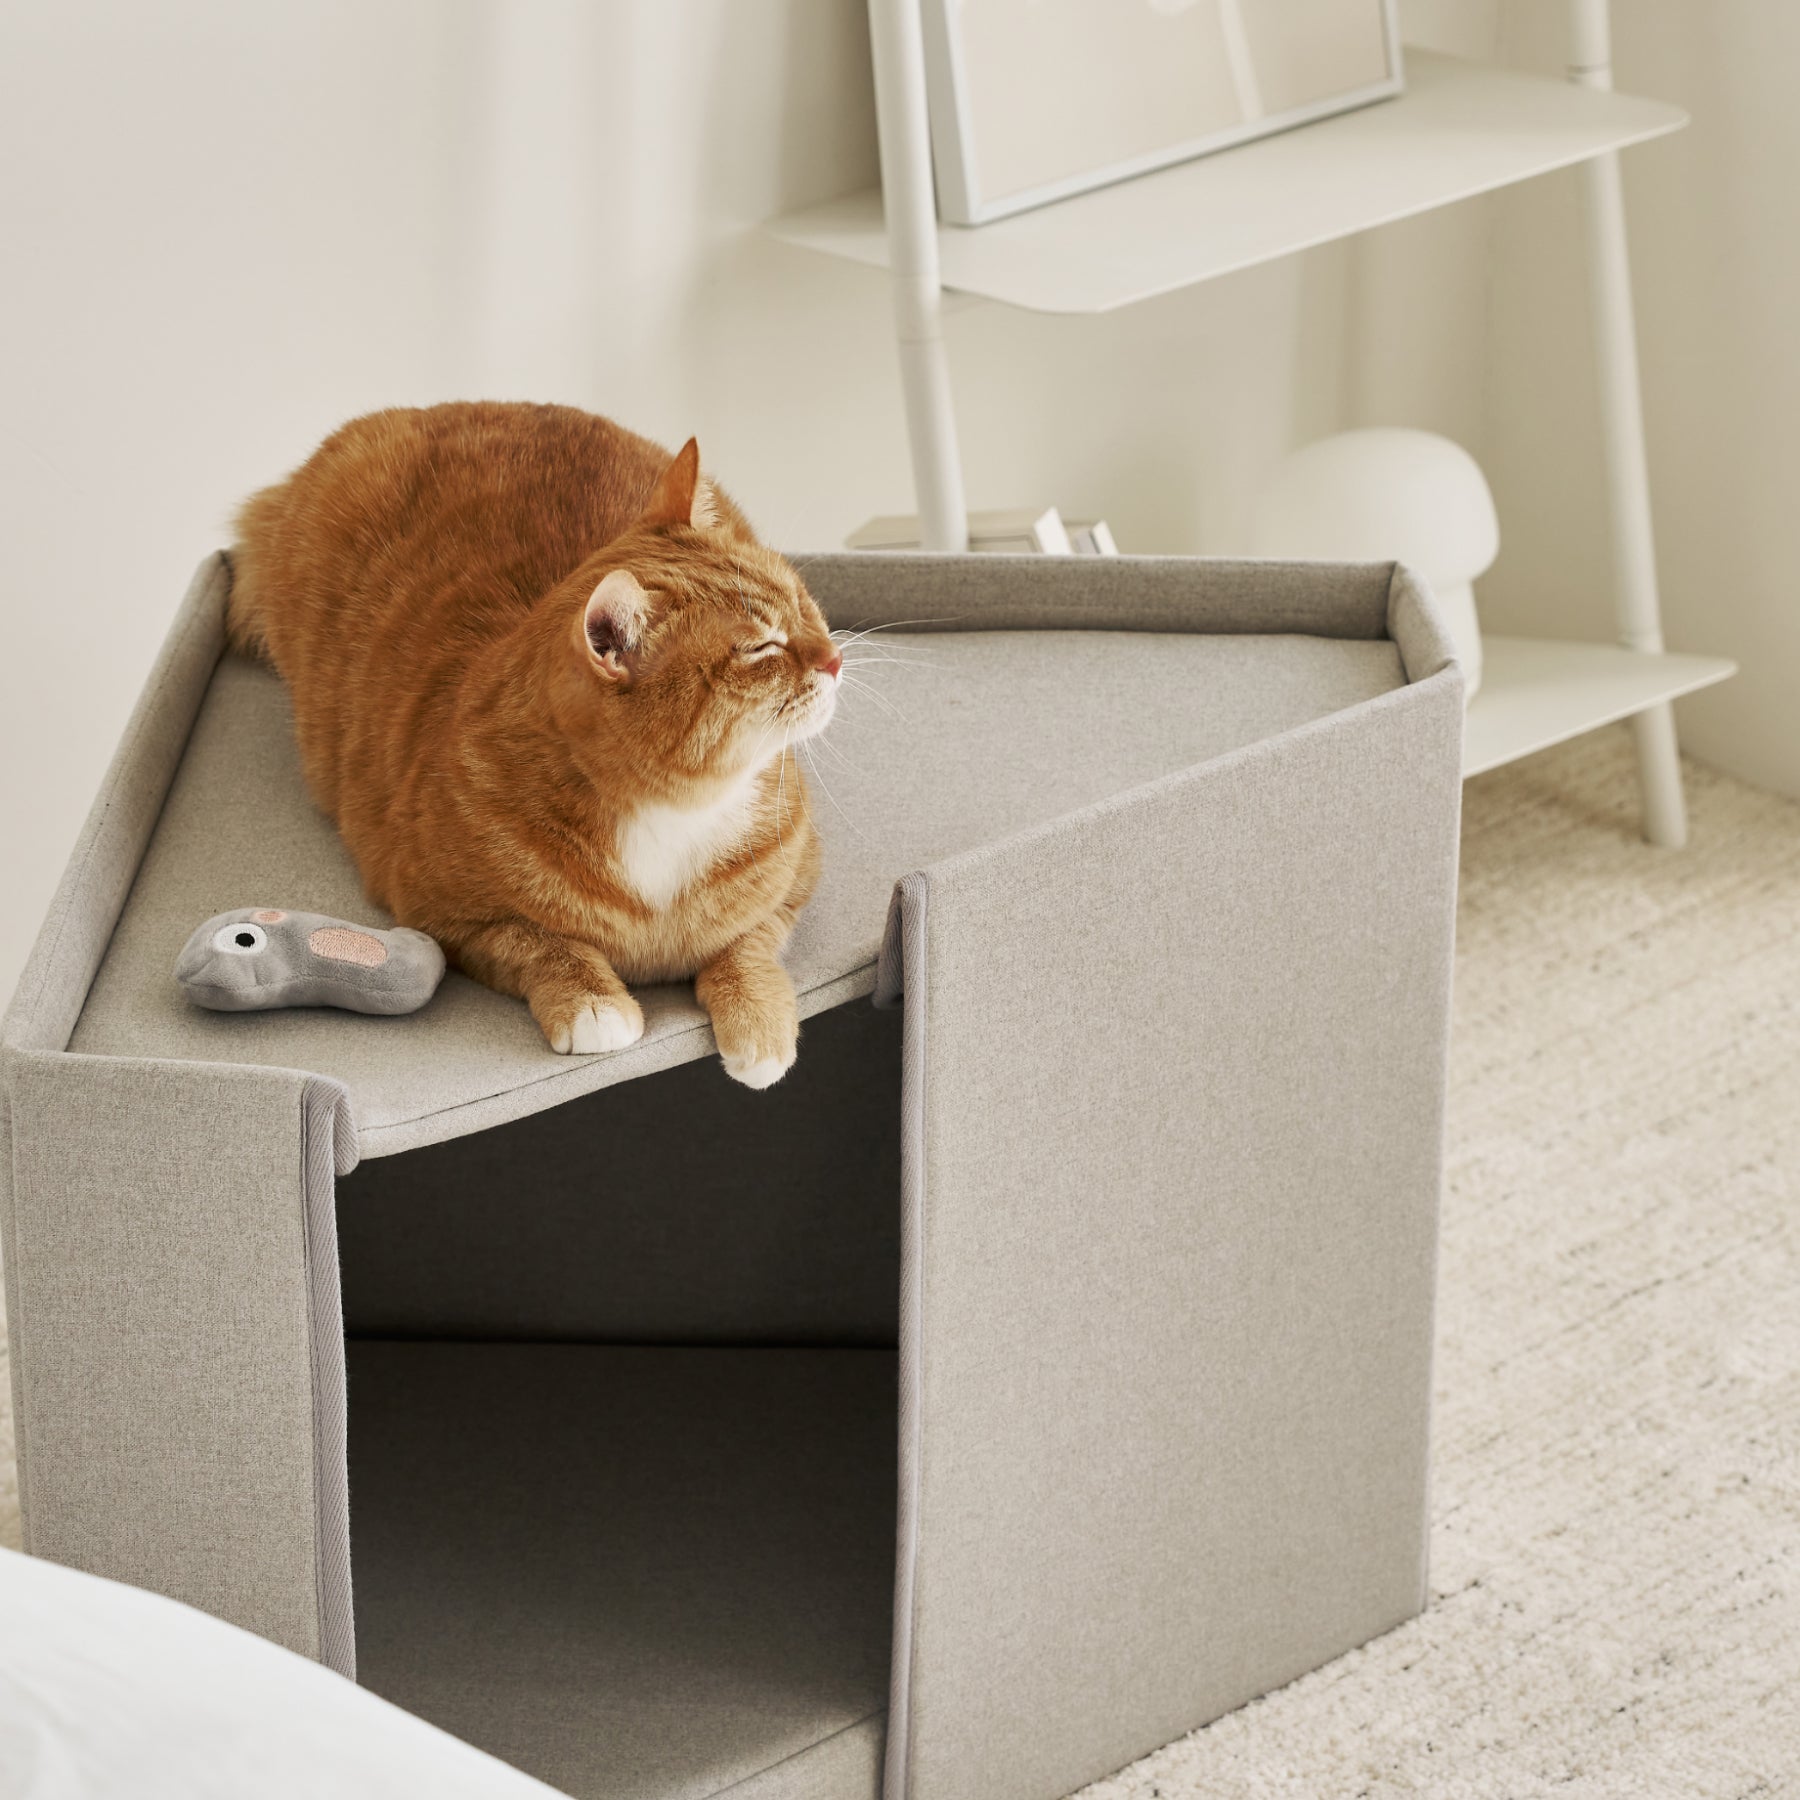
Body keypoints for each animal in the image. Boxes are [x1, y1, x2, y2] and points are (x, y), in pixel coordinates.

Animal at [228, 403, 838, 1087]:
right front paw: (592, 1004)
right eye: (762, 648)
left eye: (800, 601)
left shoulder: (795, 880)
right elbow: (538, 943)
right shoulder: (443, 915)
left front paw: (756, 1022)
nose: (835, 659)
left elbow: (748, 942)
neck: (671, 814)